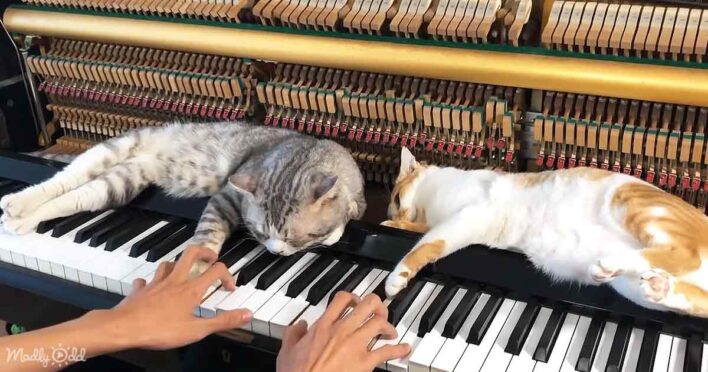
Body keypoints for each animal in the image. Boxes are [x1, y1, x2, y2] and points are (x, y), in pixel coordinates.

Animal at [0, 122, 366, 270]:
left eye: (289, 237)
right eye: (261, 233)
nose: (274, 252)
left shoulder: (356, 191)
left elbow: (352, 210)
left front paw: (334, 230)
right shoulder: (226, 196)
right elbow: (205, 239)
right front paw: (191, 272)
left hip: (123, 179)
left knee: (78, 195)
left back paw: (21, 217)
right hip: (112, 150)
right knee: (63, 181)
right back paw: (16, 203)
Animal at [382, 147, 708, 316]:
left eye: (396, 197)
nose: (396, 213)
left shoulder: (469, 215)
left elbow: (426, 243)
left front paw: (396, 277)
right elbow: (423, 232)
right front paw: (393, 225)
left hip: (635, 204)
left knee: (684, 254)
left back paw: (611, 262)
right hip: (629, 287)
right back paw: (659, 286)